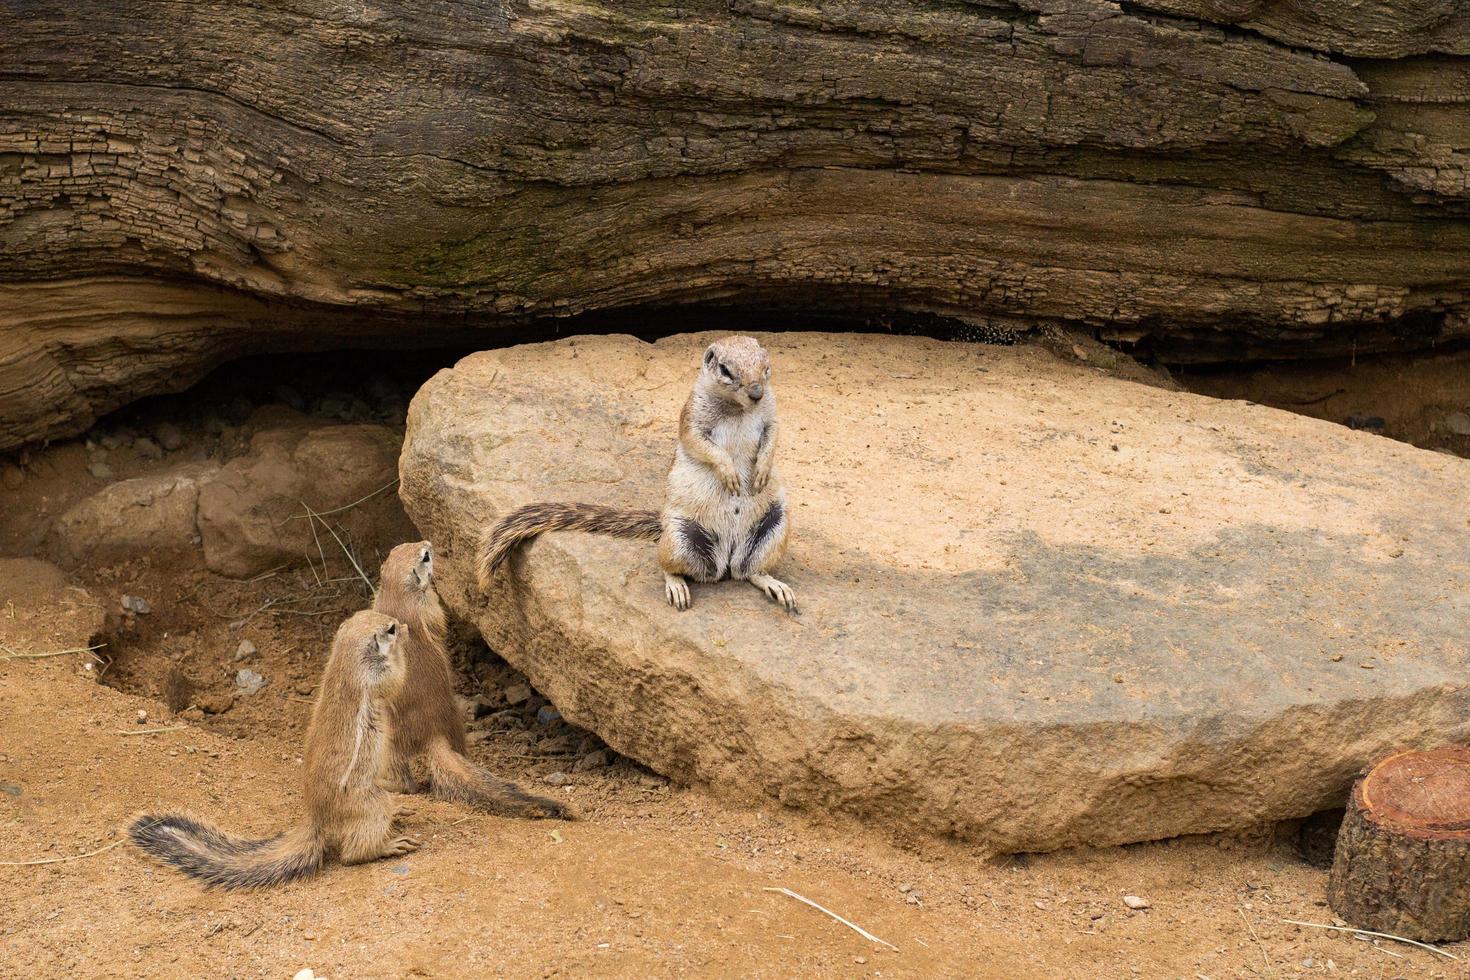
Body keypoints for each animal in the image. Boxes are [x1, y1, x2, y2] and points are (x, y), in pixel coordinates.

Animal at [126, 614, 420, 887]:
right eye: (390, 629)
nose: (405, 627)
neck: (346, 657)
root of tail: (317, 818)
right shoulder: (376, 676)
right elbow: (398, 679)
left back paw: (399, 809)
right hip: (371, 804)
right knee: (353, 854)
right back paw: (389, 845)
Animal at [373, 543, 567, 822]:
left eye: (414, 549)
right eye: (425, 557)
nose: (428, 542)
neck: (397, 594)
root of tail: (435, 732)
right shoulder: (428, 607)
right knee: (407, 782)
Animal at [479, 337, 793, 614]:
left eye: (766, 366)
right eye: (726, 370)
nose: (756, 393)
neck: (738, 409)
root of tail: (727, 557)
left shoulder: (772, 414)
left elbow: (774, 437)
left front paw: (762, 470)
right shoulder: (691, 417)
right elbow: (700, 444)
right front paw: (729, 472)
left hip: (774, 527)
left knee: (748, 571)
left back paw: (774, 585)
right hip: (680, 538)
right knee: (671, 566)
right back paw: (676, 587)